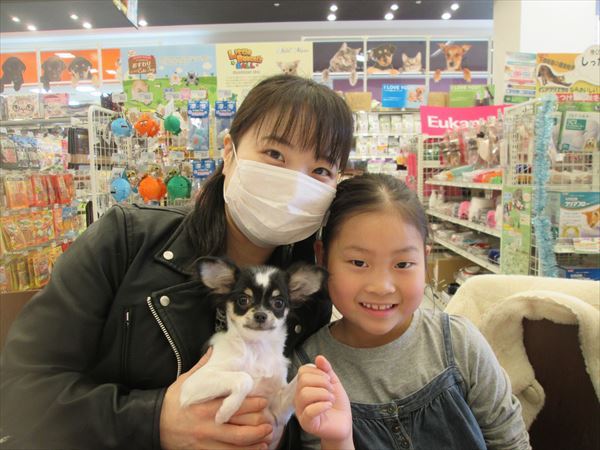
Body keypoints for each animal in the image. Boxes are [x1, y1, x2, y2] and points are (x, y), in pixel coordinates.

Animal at [180, 257, 327, 449]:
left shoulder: (277, 413)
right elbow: (245, 378)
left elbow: (307, 369)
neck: (256, 348)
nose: (260, 315)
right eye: (243, 300)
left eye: (279, 303)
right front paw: (225, 411)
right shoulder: (193, 383)